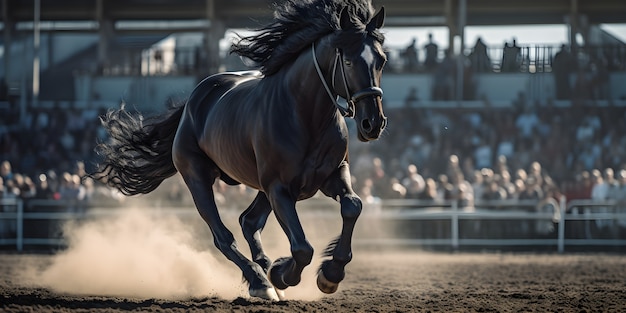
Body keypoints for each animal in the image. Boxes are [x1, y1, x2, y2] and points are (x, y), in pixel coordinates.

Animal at [94, 0, 386, 302]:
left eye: (382, 60)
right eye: (348, 61)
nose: (373, 123)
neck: (304, 116)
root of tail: (192, 102)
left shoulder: (332, 174)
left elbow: (352, 206)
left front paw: (330, 273)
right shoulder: (279, 188)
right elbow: (302, 248)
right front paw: (282, 274)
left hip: (258, 188)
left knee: (249, 221)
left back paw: (268, 273)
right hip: (198, 178)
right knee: (224, 236)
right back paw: (261, 282)